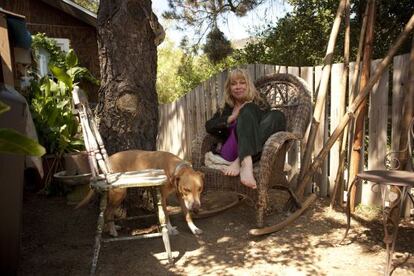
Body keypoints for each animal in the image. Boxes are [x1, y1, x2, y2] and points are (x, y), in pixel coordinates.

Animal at [77, 150, 205, 236]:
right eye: (187, 189)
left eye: (200, 189)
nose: (196, 208)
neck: (173, 167)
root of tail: (106, 161)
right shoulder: (163, 198)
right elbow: (166, 215)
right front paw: (170, 229)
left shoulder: (180, 196)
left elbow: (187, 215)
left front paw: (194, 228)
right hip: (119, 193)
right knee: (108, 212)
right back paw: (112, 230)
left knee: (107, 213)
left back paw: (109, 227)